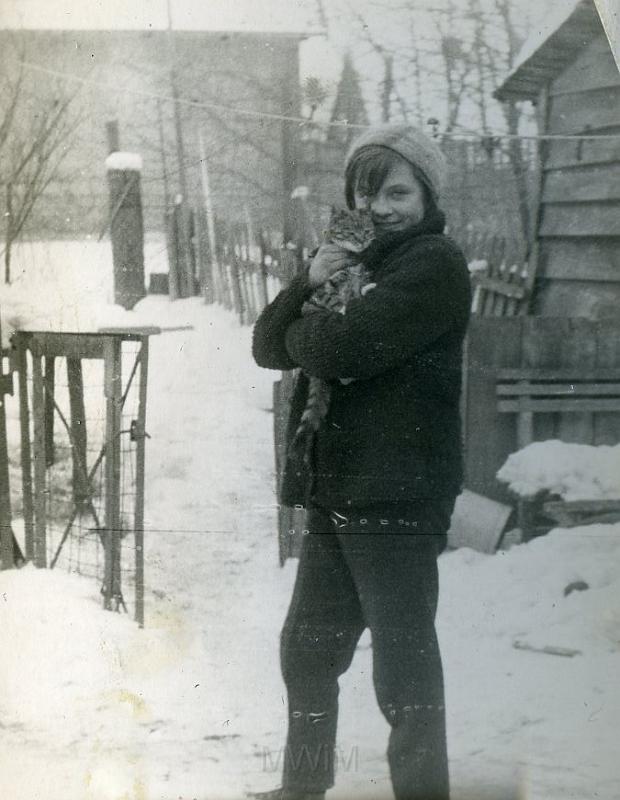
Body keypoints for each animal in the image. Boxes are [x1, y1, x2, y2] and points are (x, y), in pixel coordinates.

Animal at [288, 206, 376, 462]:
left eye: (366, 230)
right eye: (350, 231)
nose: (362, 239)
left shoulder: (359, 277)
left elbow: (359, 289)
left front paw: (366, 290)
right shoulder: (323, 289)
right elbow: (336, 301)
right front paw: (344, 308)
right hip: (309, 311)